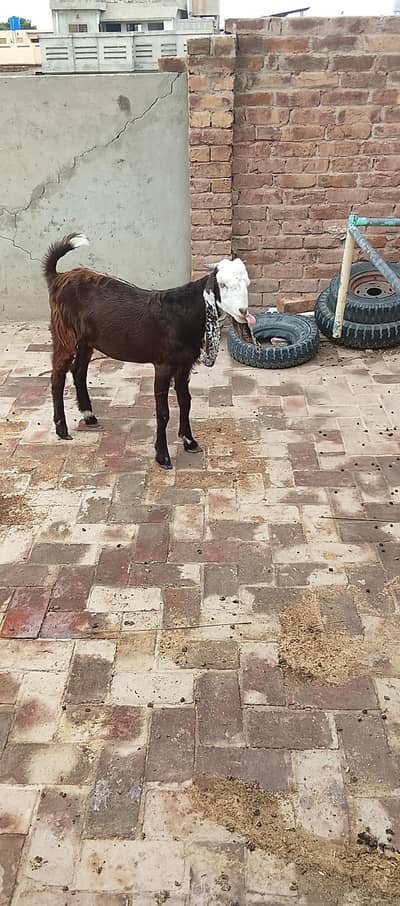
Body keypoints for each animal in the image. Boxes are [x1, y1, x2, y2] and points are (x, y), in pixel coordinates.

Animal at [43, 234, 255, 469]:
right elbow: (162, 412)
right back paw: (61, 428)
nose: (243, 312)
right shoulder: (163, 364)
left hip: (86, 340)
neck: (182, 314)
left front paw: (189, 441)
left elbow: (186, 401)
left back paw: (89, 416)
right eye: (223, 285)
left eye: (247, 284)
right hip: (64, 333)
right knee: (57, 376)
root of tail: (58, 277)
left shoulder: (184, 364)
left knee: (79, 371)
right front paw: (162, 456)